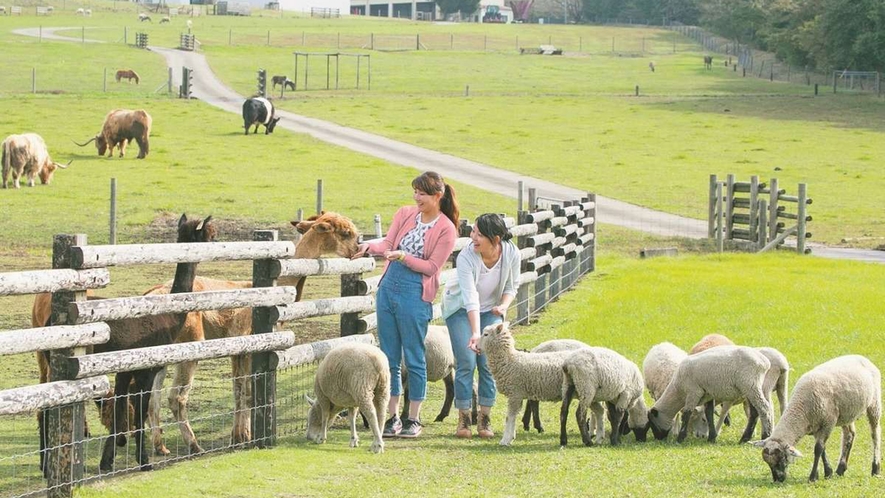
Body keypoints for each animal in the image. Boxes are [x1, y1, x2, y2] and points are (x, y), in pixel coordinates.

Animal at [644, 346, 772, 444]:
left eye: (652, 423)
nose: (658, 439)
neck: (677, 391)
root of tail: (765, 362)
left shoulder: (693, 392)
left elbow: (686, 414)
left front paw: (680, 438)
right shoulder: (708, 394)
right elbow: (709, 414)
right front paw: (711, 438)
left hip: (750, 385)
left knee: (764, 408)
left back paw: (766, 435)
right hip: (749, 389)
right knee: (755, 413)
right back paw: (745, 439)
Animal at [748, 354, 880, 482]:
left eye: (782, 459)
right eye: (768, 463)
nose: (778, 480)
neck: (801, 410)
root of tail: (862, 357)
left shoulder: (828, 423)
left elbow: (818, 449)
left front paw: (812, 477)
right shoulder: (816, 425)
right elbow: (823, 450)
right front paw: (827, 472)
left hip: (874, 403)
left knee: (875, 434)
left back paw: (876, 469)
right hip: (847, 413)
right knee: (849, 435)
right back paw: (840, 469)